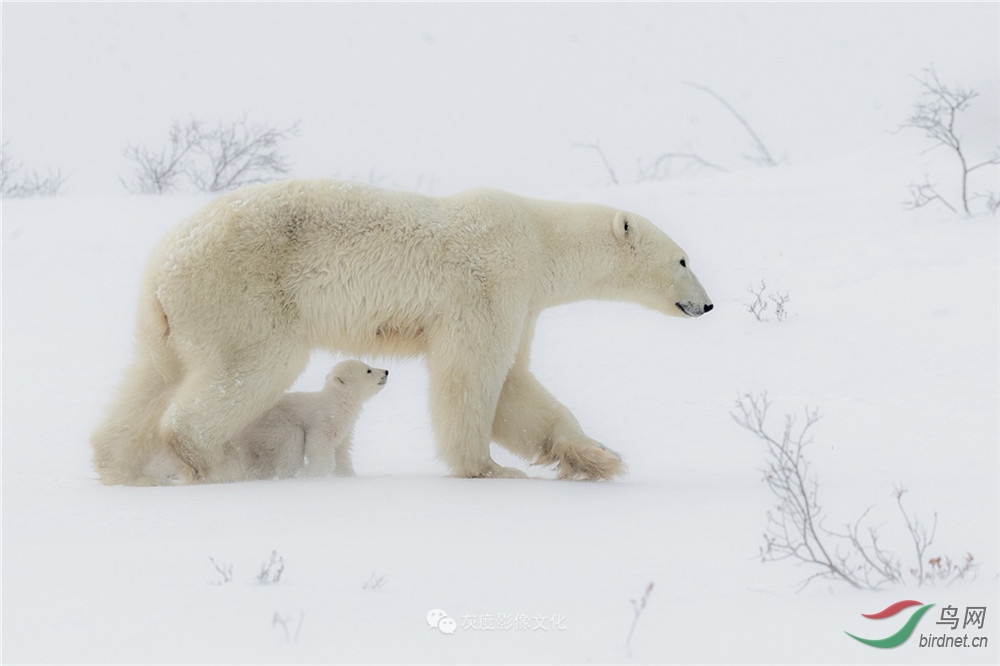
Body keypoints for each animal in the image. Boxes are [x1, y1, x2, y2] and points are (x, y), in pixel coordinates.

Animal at [233, 360, 388, 480]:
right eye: (368, 370)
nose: (386, 371)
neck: (339, 402)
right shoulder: (324, 420)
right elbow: (318, 444)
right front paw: (310, 473)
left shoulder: (345, 428)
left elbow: (342, 451)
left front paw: (348, 476)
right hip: (270, 428)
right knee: (291, 441)